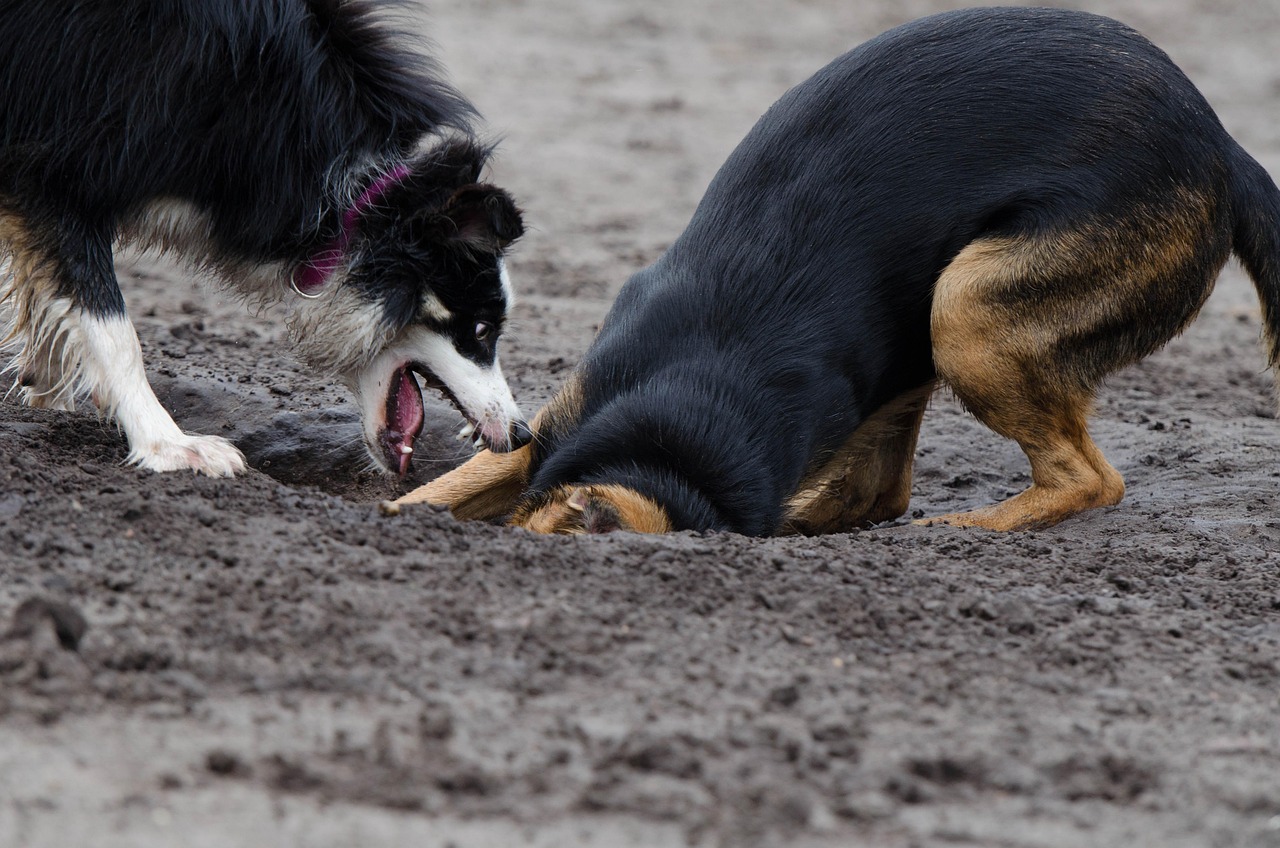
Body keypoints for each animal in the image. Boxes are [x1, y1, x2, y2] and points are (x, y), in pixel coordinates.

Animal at [0, 0, 529, 479]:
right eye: (482, 329)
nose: (521, 434)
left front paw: (44, 384)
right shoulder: (71, 148)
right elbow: (110, 324)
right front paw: (174, 447)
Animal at [394, 6, 1274, 535]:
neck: (675, 436)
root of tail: (1222, 148)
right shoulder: (548, 429)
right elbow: (450, 487)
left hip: (966, 312)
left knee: (1086, 480)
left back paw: (950, 535)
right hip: (932, 335)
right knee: (885, 490)